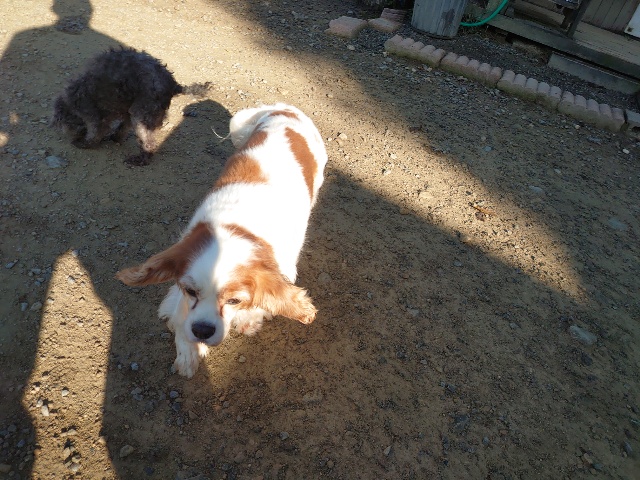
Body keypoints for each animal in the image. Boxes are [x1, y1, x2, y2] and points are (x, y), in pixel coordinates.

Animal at [51, 47, 209, 166]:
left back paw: (139, 160)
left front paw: (84, 143)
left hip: (142, 114)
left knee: (149, 143)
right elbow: (122, 127)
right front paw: (115, 137)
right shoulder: (121, 110)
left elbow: (95, 133)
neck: (70, 104)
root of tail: (173, 84)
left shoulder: (91, 112)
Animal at [116, 104, 327, 377]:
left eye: (234, 300)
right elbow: (180, 316)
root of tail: (284, 108)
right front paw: (188, 353)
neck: (238, 227)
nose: (202, 330)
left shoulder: (283, 268)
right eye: (191, 291)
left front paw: (249, 319)